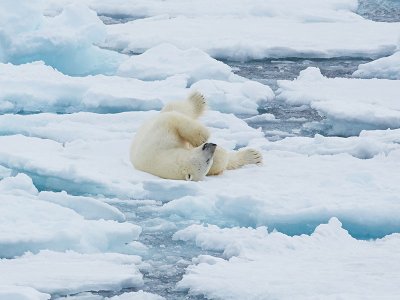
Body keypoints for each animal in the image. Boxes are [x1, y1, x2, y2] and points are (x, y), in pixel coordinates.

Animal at [130, 91, 262, 180]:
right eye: (208, 160)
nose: (212, 145)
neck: (163, 158)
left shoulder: (160, 135)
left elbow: (173, 120)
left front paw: (201, 137)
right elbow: (220, 161)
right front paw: (205, 140)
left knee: (176, 109)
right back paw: (254, 156)